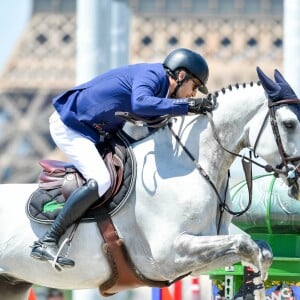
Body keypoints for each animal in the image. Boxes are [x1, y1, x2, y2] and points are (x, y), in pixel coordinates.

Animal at [0, 68, 300, 300]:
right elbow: (246, 245)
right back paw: (47, 249)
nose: (298, 179)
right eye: (289, 123)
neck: (190, 164)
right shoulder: (168, 255)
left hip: (12, 284)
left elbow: (260, 250)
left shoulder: (203, 253)